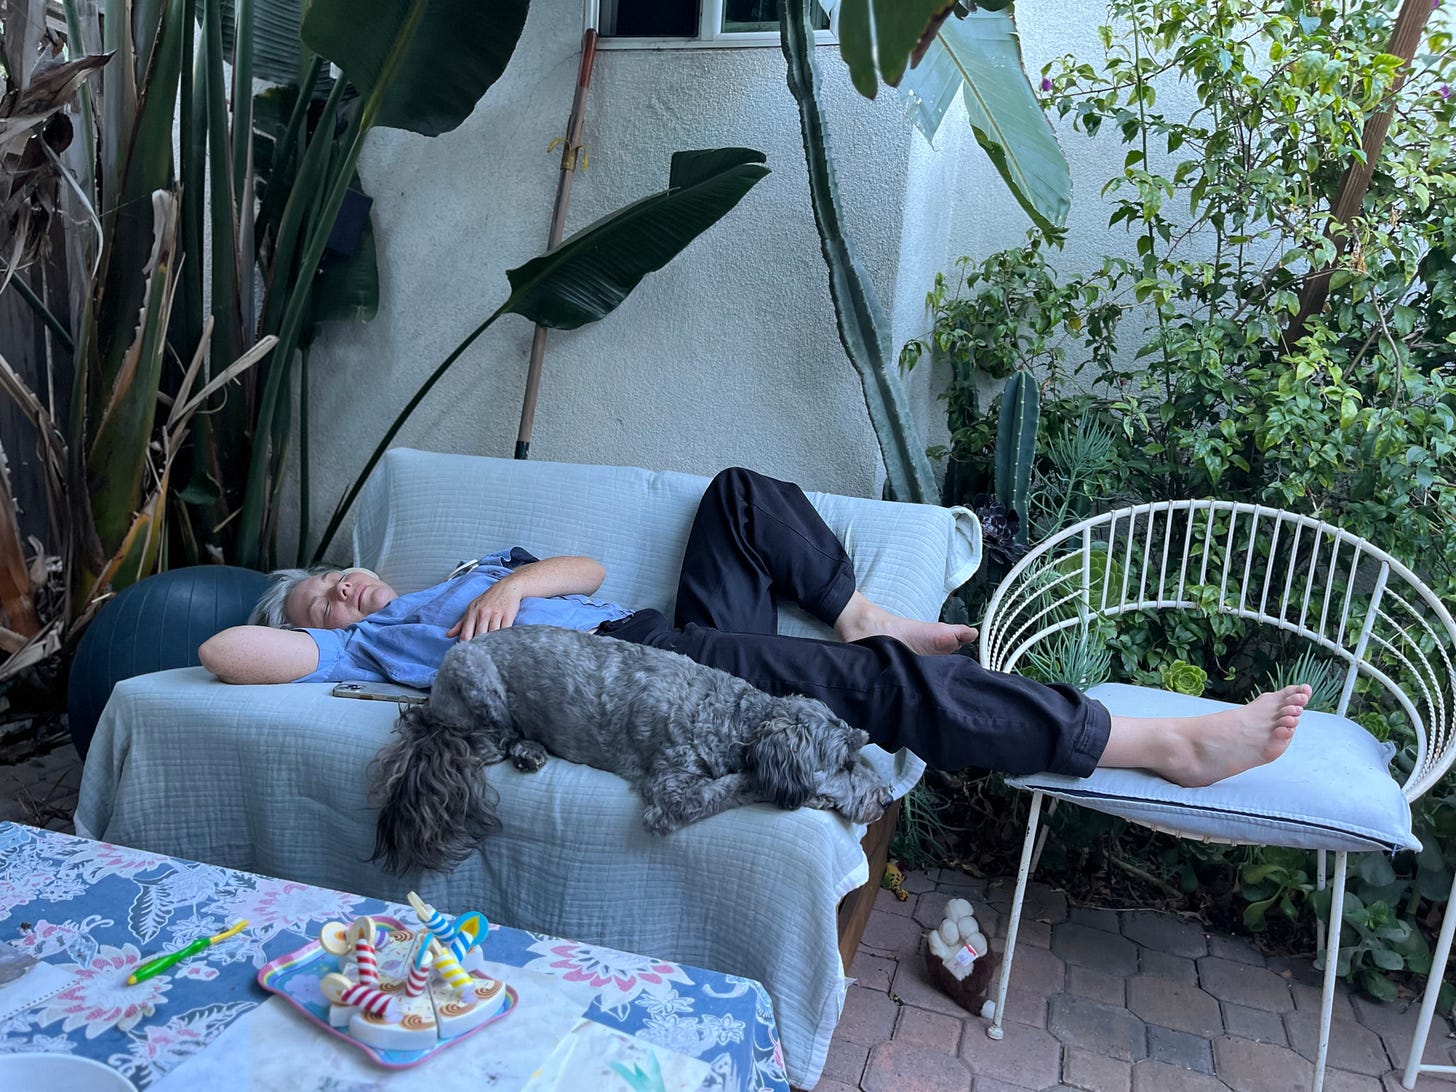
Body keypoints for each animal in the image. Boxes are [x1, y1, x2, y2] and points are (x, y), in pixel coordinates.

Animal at [369, 628, 891, 879]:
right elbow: (739, 784)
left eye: (861, 748)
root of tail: (432, 698)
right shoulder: (673, 795)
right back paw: (522, 747)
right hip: (481, 686)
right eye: (844, 763)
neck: (737, 718)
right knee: (486, 743)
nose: (886, 799)